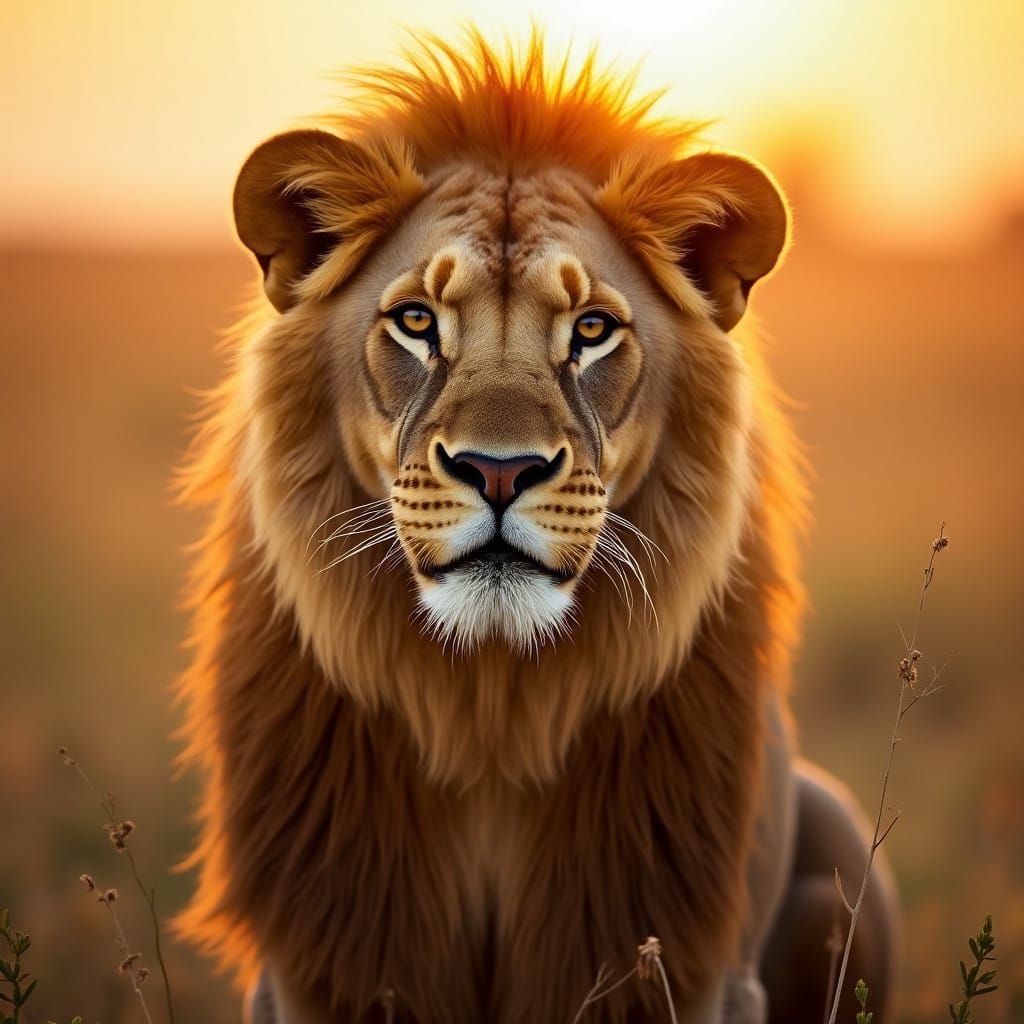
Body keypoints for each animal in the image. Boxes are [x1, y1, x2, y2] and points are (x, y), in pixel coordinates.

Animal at [176, 32, 897, 1024]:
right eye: (415, 322)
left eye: (592, 330)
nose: (499, 471)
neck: (493, 705)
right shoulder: (317, 965)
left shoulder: (695, 969)